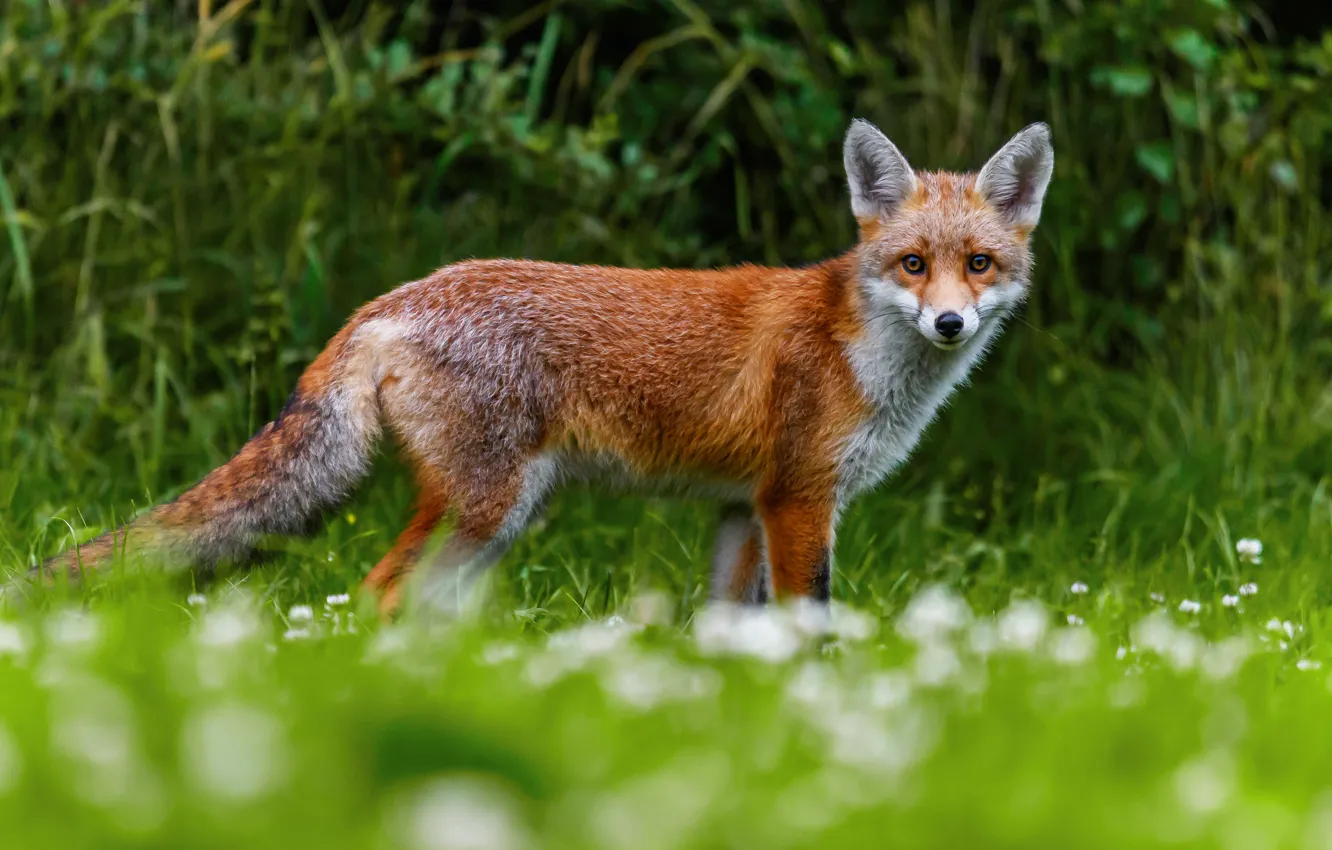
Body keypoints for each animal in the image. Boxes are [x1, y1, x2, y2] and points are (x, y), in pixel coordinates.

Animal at [38, 119, 1053, 617]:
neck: (861, 352)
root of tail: (387, 301)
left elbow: (731, 634)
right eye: (913, 265)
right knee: (376, 595)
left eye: (979, 265)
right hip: (489, 506)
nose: (951, 323)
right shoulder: (799, 501)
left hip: (499, 520)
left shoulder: (743, 508)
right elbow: (815, 628)